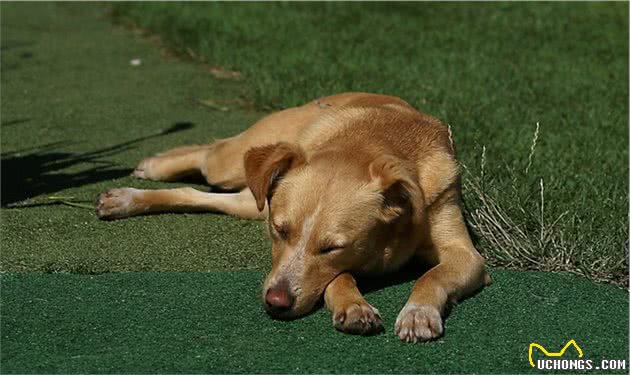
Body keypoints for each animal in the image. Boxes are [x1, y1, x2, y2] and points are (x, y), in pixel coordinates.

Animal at [96, 92, 492, 344]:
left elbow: (431, 275)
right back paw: (152, 168)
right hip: (236, 166)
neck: (372, 143)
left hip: (251, 200)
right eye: (279, 231)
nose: (275, 302)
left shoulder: (465, 253)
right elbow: (341, 278)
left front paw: (417, 312)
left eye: (332, 247)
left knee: (200, 194)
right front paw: (353, 304)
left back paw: (130, 198)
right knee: (210, 151)